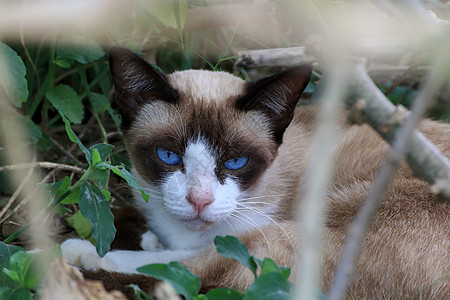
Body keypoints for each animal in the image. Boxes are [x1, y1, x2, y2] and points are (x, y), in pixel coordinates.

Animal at [61, 46, 448, 298]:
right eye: (168, 155)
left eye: (236, 162)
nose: (199, 200)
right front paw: (149, 235)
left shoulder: (253, 237)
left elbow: (179, 265)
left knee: (186, 273)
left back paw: (69, 256)